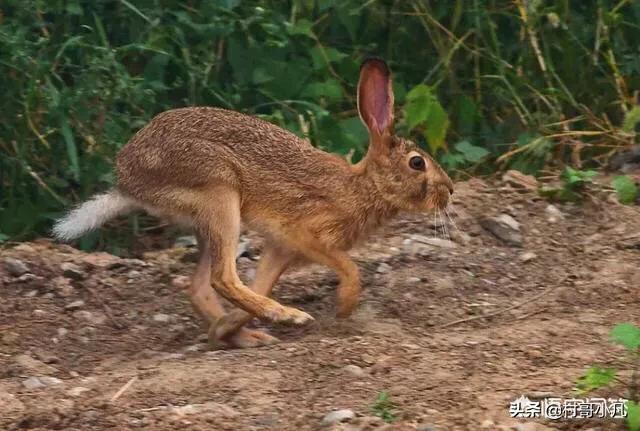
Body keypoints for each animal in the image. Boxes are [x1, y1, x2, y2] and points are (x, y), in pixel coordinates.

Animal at [56, 58, 456, 348]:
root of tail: (128, 180)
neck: (363, 186)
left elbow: (262, 282)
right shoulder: (305, 234)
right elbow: (349, 268)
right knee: (222, 278)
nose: (450, 190)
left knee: (200, 287)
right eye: (417, 163)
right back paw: (285, 317)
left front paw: (227, 328)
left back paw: (243, 335)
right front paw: (342, 307)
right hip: (219, 196)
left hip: (208, 220)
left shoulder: (280, 249)